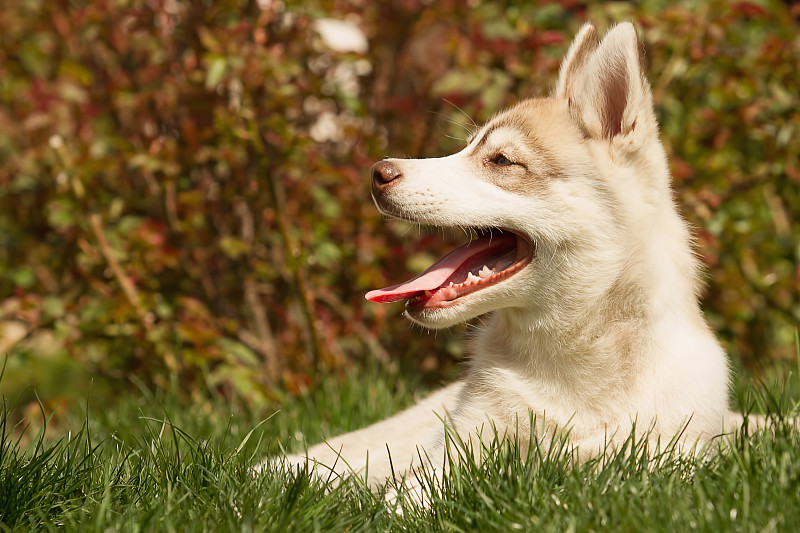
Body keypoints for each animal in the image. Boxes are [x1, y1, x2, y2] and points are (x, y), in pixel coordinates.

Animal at [274, 21, 752, 494]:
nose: (377, 173)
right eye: (464, 149)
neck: (569, 360)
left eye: (501, 160)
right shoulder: (450, 454)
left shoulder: (659, 460)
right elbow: (408, 498)